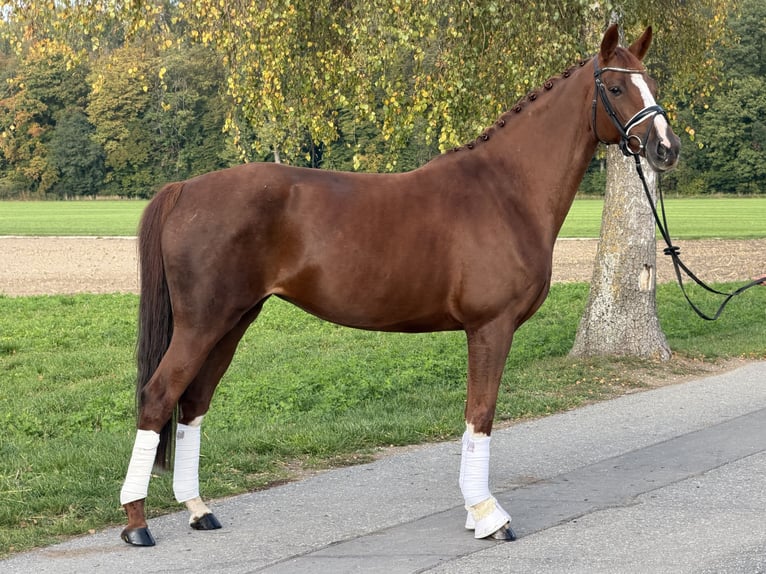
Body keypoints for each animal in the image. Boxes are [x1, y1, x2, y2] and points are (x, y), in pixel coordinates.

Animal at [119, 24, 680, 546]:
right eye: (615, 87)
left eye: (651, 83)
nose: (666, 149)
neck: (506, 190)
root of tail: (185, 189)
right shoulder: (491, 327)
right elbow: (481, 414)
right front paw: (488, 516)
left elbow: (475, 416)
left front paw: (475, 510)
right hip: (203, 322)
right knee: (158, 396)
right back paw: (138, 524)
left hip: (233, 320)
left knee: (193, 402)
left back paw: (198, 510)